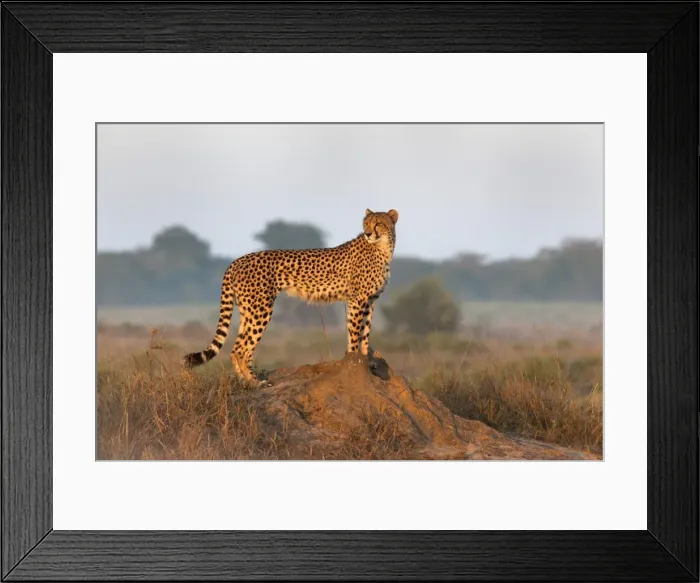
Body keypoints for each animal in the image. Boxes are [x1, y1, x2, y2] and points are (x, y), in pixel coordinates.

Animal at [182, 208, 399, 386]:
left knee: (236, 348)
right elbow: (354, 332)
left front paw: (367, 360)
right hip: (261, 309)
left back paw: (244, 380)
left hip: (247, 310)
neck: (382, 248)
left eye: (378, 223)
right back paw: (254, 382)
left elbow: (365, 332)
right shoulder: (357, 299)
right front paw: (353, 361)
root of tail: (237, 260)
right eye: (366, 223)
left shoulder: (370, 301)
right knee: (243, 349)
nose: (368, 233)